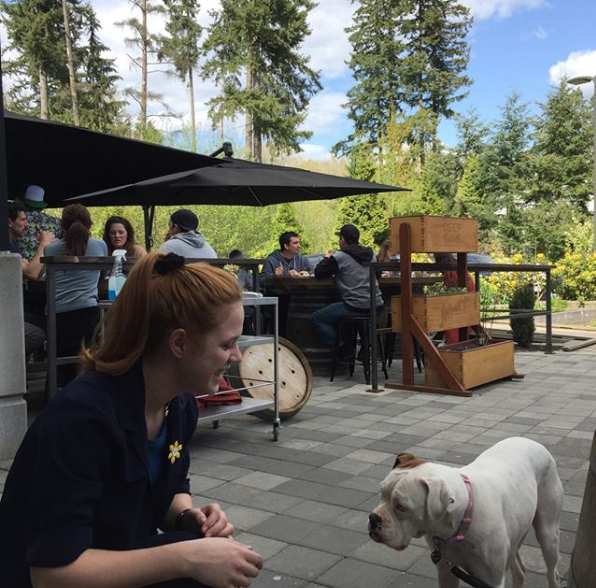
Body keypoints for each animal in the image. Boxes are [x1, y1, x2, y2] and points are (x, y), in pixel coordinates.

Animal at [368, 436, 564, 588]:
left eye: (401, 507)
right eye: (381, 493)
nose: (373, 518)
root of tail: (532, 442)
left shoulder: (491, 581)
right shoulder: (446, 571)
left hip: (548, 536)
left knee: (552, 572)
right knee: (520, 571)